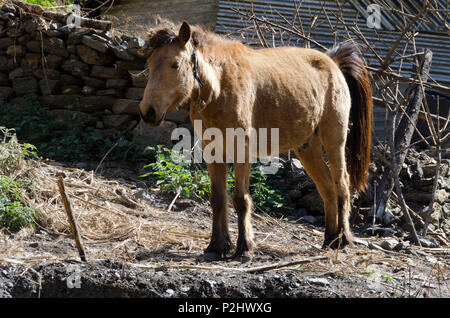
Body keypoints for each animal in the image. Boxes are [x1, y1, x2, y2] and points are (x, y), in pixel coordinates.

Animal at [138, 19, 372, 260]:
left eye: (175, 64)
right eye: (150, 62)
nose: (148, 111)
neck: (220, 85)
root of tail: (332, 62)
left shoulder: (241, 150)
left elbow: (241, 199)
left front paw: (244, 247)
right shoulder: (213, 151)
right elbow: (217, 198)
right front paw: (217, 246)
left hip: (334, 139)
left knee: (341, 184)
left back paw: (343, 239)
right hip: (307, 147)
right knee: (326, 188)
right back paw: (329, 239)